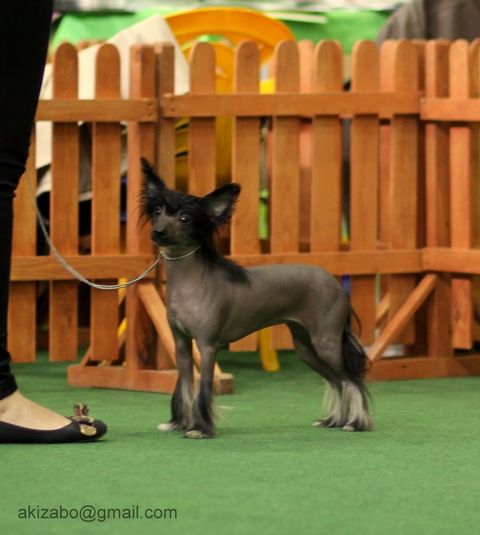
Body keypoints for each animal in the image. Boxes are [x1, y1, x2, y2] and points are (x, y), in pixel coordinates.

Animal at [140, 158, 372, 438]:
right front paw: (182, 423)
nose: (158, 232)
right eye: (157, 212)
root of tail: (335, 283)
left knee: (351, 379)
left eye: (184, 218)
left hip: (326, 342)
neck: (191, 282)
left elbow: (204, 386)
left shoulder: (207, 346)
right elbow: (185, 385)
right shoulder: (182, 345)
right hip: (306, 346)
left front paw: (200, 429)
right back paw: (336, 420)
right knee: (338, 381)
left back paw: (356, 423)